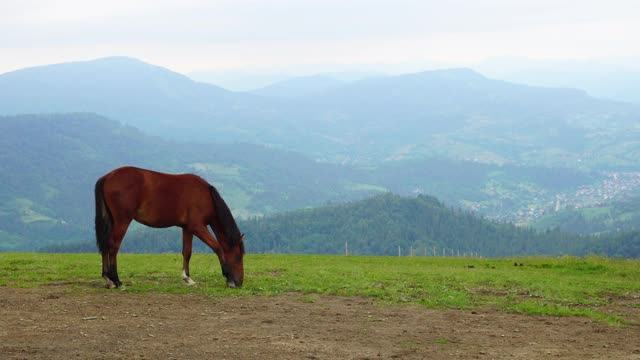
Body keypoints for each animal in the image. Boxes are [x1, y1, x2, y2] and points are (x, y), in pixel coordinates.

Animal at [94, 167, 244, 288]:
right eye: (238, 256)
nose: (240, 282)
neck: (206, 197)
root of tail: (107, 177)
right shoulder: (198, 227)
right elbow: (218, 248)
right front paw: (229, 278)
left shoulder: (187, 228)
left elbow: (187, 252)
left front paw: (187, 278)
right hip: (122, 221)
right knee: (113, 246)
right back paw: (116, 280)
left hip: (111, 221)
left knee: (106, 245)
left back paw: (108, 279)